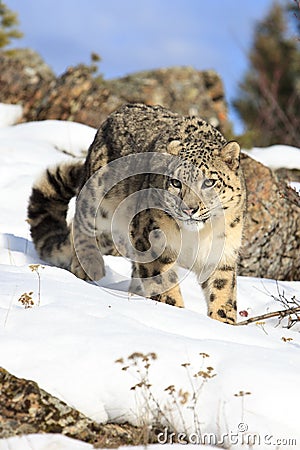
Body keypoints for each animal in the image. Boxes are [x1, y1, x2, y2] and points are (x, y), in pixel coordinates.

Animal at [27, 103, 246, 324]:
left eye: (209, 182)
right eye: (176, 183)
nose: (189, 209)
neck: (197, 235)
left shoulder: (222, 252)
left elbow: (223, 290)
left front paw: (223, 322)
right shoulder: (152, 241)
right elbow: (163, 282)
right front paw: (174, 311)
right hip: (98, 198)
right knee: (80, 223)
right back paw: (90, 265)